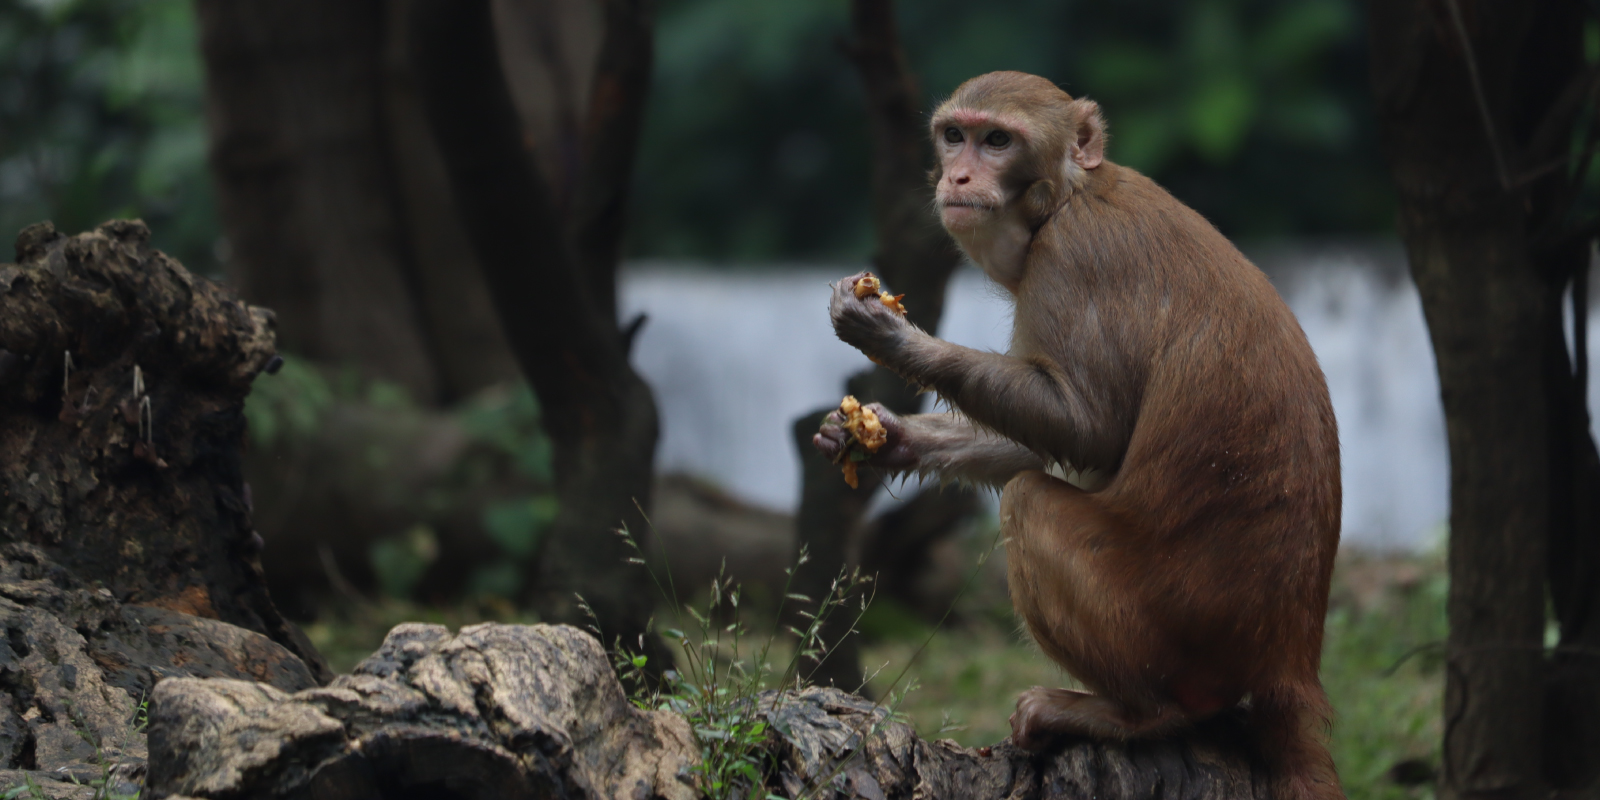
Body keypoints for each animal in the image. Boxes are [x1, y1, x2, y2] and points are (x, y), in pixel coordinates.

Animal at [819, 70, 1344, 800]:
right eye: (954, 135)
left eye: (997, 141)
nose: (957, 176)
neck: (1069, 193)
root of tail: (1289, 660)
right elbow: (1046, 440)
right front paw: (882, 436)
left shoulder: (1074, 259)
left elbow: (1090, 430)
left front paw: (894, 337)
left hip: (1163, 628)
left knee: (1029, 501)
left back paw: (1142, 715)